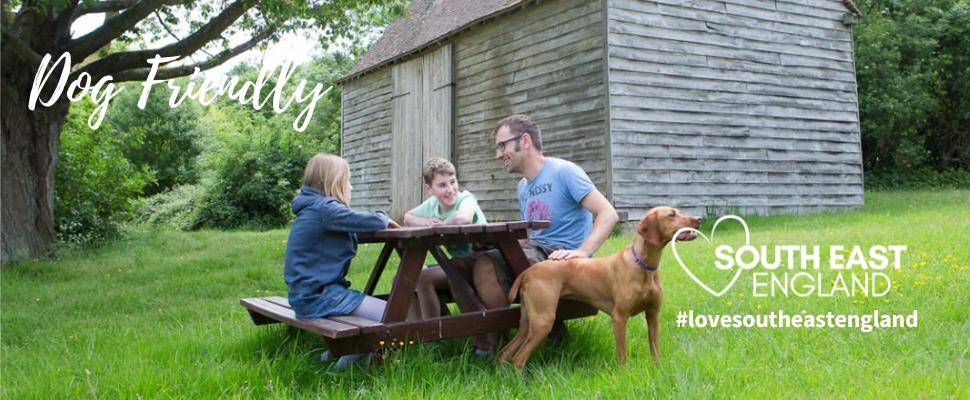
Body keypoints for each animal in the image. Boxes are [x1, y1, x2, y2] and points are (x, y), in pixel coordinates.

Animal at [500, 206, 696, 368]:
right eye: (671, 215)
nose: (698, 219)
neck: (643, 265)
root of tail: (528, 271)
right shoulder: (620, 317)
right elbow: (622, 356)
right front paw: (624, 374)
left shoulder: (653, 314)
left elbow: (655, 350)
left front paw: (657, 369)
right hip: (543, 320)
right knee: (518, 359)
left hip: (528, 321)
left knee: (504, 353)